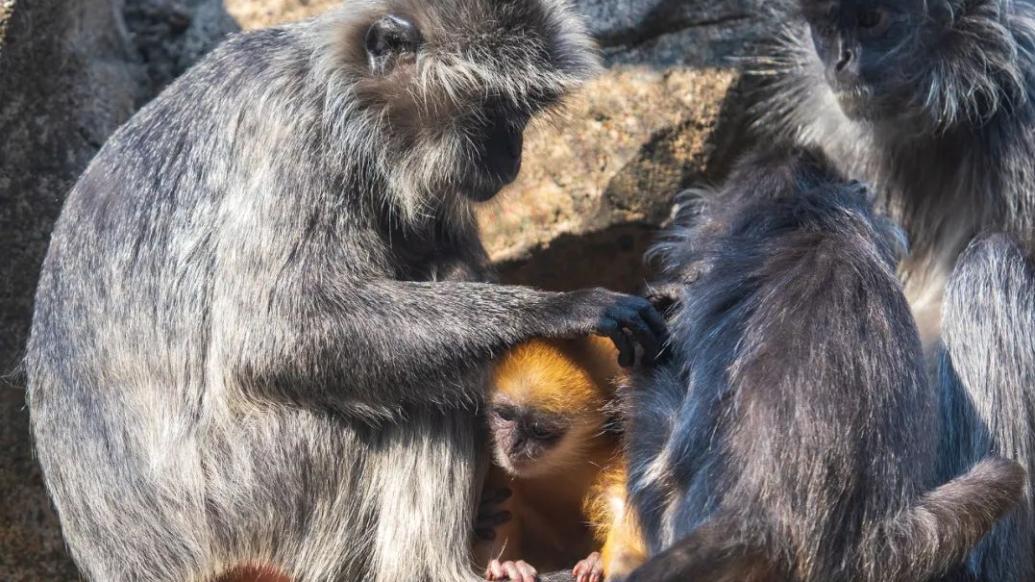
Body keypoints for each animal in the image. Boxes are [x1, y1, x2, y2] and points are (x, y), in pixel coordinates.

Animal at [474, 335, 641, 579]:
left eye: (539, 430)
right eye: (504, 415)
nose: (513, 445)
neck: (562, 464)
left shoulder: (615, 459)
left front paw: (598, 563)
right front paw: (509, 565)